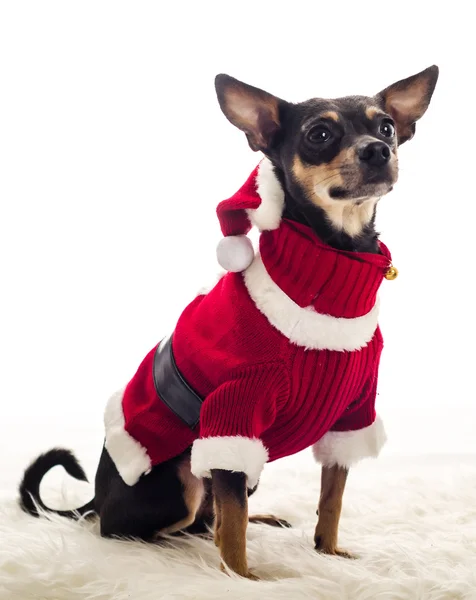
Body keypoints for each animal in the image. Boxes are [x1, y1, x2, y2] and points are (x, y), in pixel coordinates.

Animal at [19, 64, 438, 576]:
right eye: (319, 134)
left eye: (387, 128)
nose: (378, 150)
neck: (331, 270)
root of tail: (97, 498)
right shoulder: (232, 413)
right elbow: (232, 526)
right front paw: (242, 577)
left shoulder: (350, 417)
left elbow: (331, 499)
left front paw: (328, 552)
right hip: (180, 479)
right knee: (151, 527)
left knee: (211, 516)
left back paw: (260, 520)